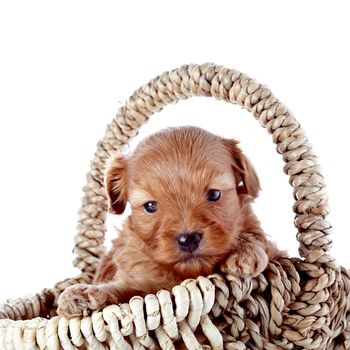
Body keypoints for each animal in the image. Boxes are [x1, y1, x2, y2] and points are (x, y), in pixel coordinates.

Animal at [57, 125, 282, 318]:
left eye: (215, 194)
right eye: (150, 206)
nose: (188, 239)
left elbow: (259, 238)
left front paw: (244, 252)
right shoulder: (142, 283)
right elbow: (123, 290)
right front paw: (84, 296)